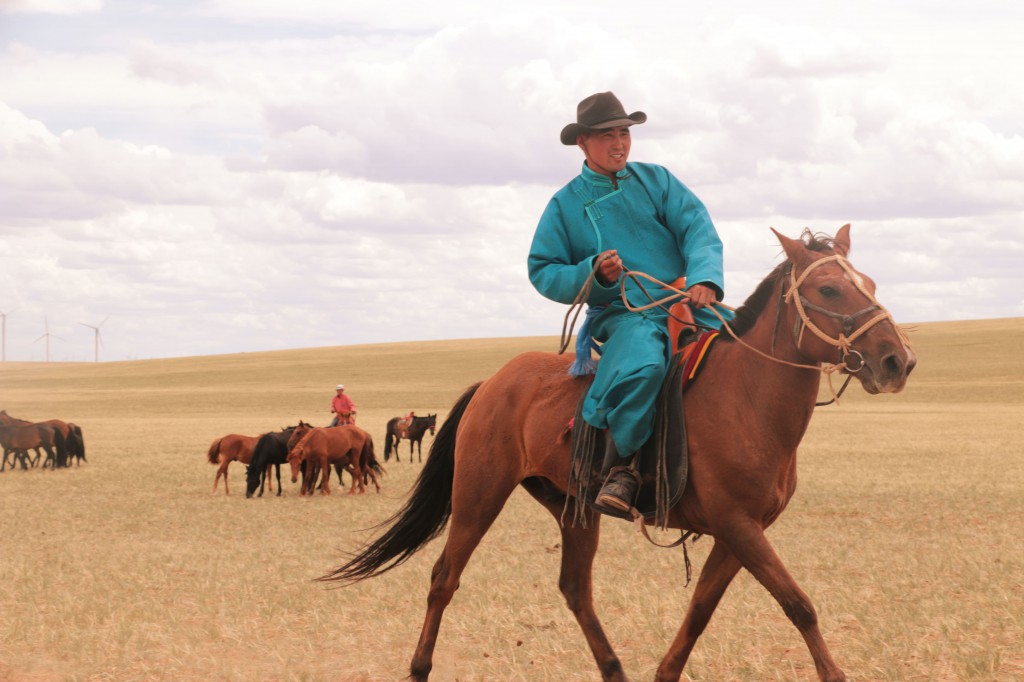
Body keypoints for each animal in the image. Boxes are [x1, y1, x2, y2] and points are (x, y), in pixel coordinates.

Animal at [321, 226, 916, 682]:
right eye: (829, 289)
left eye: (868, 284)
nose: (897, 361)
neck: (746, 398)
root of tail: (492, 382)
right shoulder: (738, 525)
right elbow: (799, 605)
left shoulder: (740, 532)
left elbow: (700, 611)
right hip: (478, 496)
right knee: (444, 577)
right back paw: (420, 667)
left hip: (573, 507)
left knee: (575, 589)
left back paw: (613, 668)